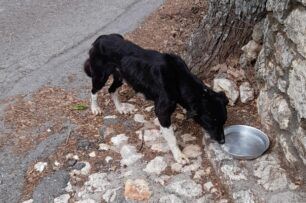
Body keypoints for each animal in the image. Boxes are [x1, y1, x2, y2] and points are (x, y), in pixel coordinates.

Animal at [83, 33, 227, 163]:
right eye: (211, 122)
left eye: (223, 121)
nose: (222, 141)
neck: (179, 79)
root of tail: (100, 38)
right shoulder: (162, 111)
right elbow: (171, 137)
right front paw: (179, 156)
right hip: (100, 75)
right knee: (94, 91)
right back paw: (95, 108)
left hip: (121, 76)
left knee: (111, 90)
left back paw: (120, 108)